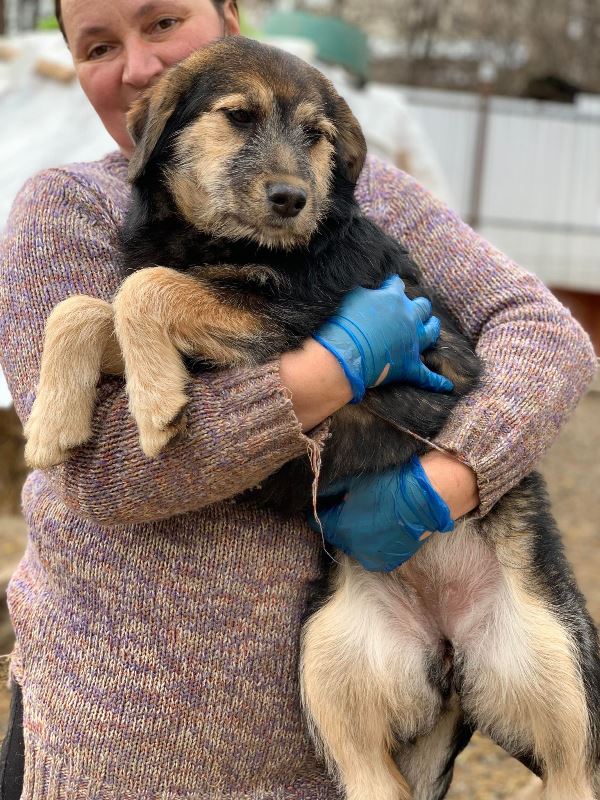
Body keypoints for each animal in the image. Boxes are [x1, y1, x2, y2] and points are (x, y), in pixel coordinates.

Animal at [22, 36, 600, 800]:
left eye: (318, 136)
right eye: (238, 116)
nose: (292, 199)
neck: (215, 244)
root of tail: (450, 646)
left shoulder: (292, 319)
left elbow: (145, 289)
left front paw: (153, 404)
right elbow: (85, 306)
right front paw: (50, 422)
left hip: (560, 691)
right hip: (337, 678)